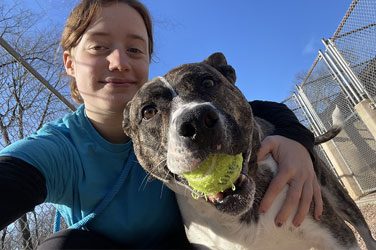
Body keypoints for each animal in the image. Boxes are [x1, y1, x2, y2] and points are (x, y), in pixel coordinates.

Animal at [123, 52, 376, 250]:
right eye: (148, 112)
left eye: (208, 82)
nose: (196, 121)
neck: (241, 218)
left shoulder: (337, 237)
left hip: (338, 197)